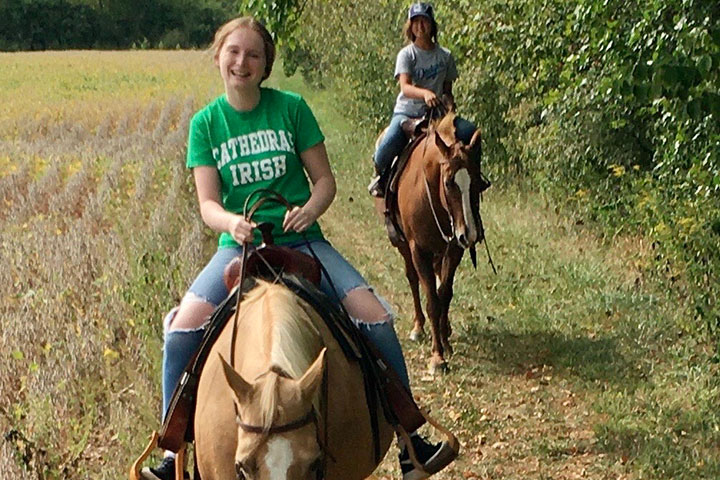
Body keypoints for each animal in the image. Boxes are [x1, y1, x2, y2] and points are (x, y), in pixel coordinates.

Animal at [386, 113, 480, 376]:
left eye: (477, 182)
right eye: (448, 182)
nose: (469, 234)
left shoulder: (454, 250)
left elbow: (444, 294)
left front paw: (445, 344)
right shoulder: (418, 250)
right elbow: (432, 302)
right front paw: (437, 357)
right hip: (404, 246)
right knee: (412, 279)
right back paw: (418, 327)